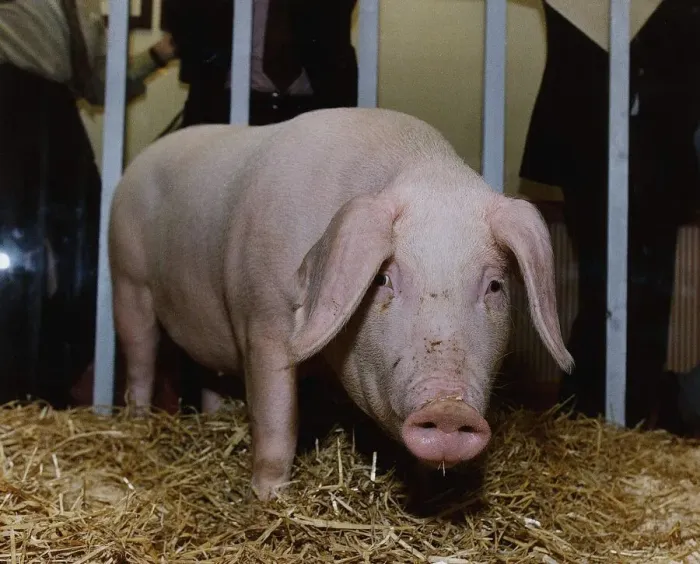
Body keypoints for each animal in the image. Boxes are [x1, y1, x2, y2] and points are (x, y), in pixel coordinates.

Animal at [109, 107, 574, 500]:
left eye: (494, 286)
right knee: (140, 357)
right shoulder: (263, 319)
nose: (448, 407)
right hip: (127, 278)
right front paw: (270, 497)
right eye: (383, 278)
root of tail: (141, 160)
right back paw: (135, 424)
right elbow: (277, 418)